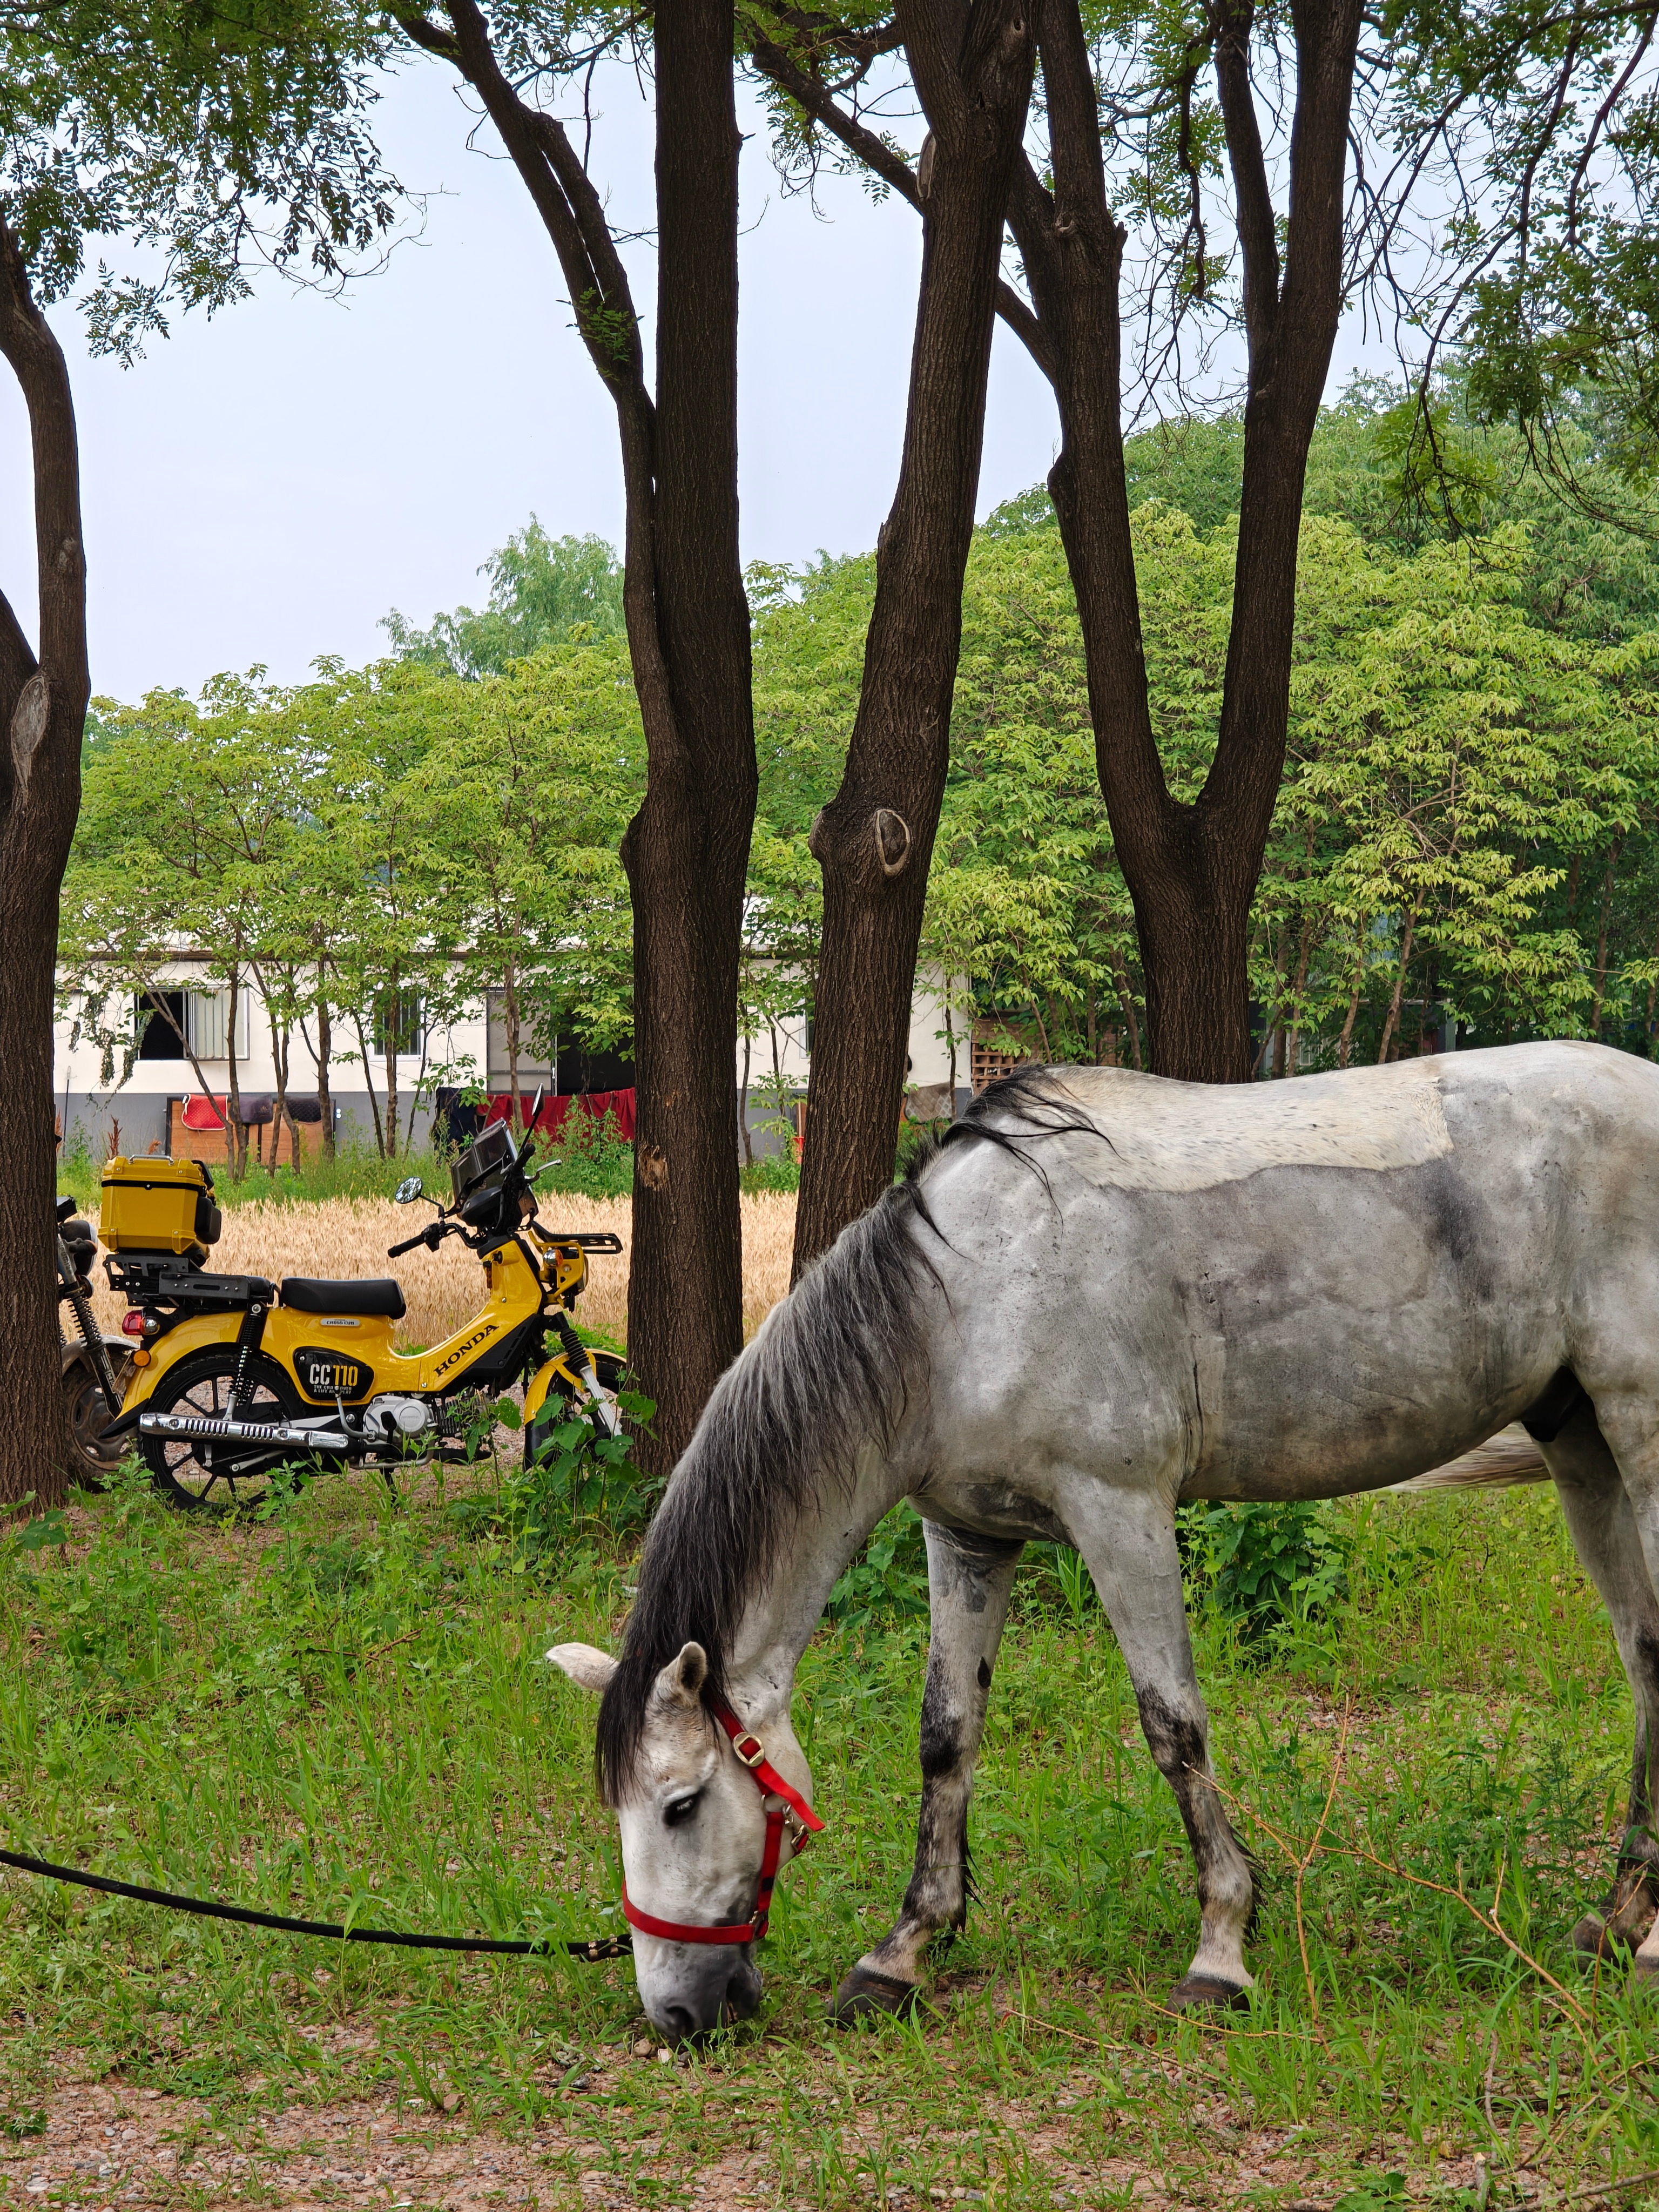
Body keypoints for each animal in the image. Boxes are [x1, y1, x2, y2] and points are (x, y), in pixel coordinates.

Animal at [550, 1039, 1659, 2038]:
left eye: (682, 1804)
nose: (675, 2015)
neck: (967, 1303)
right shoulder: (965, 1535)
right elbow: (945, 1735)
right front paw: (902, 1953)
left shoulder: (1119, 1511)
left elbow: (1174, 1727)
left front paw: (1221, 1952)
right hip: (1581, 1445)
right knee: (1645, 1658)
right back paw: (1616, 1921)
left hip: (1638, 1430)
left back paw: (1643, 1943)